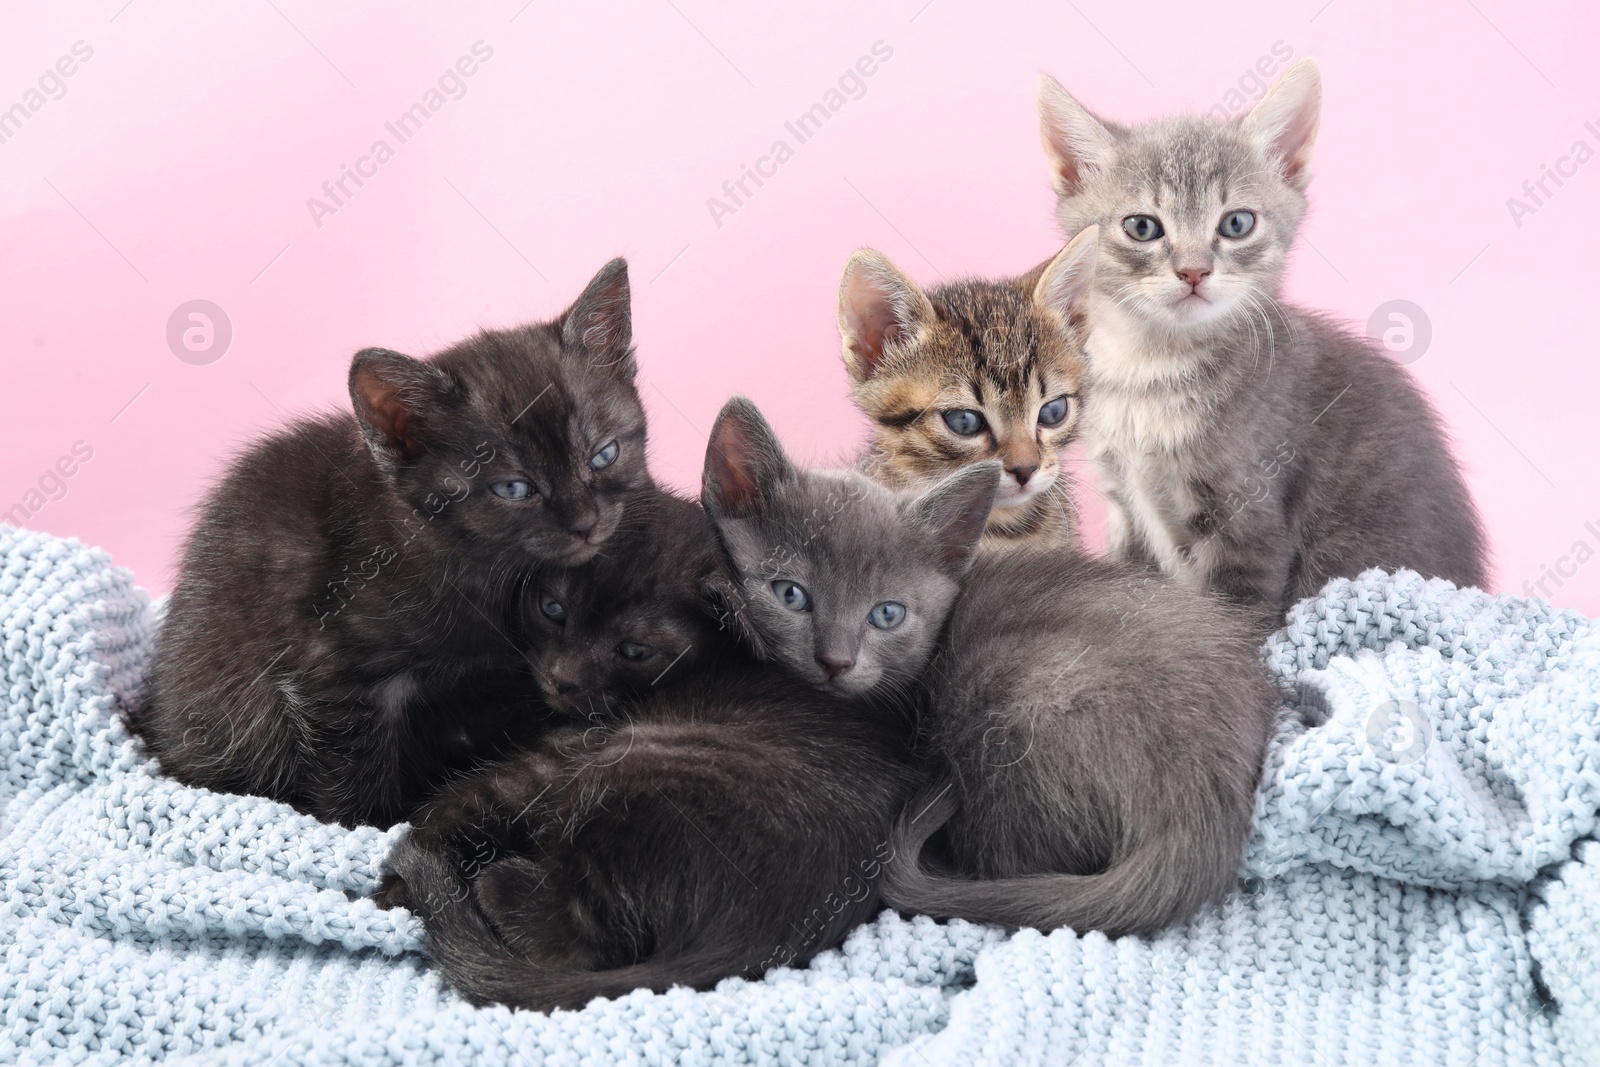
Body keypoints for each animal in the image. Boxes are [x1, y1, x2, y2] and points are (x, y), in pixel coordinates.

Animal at [132, 262, 656, 831]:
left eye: (604, 455)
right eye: (514, 489)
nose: (586, 523)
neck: (472, 566)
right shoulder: (331, 666)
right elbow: (352, 769)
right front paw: (371, 830)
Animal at [380, 415, 985, 1011]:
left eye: (633, 650)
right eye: (552, 609)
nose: (561, 679)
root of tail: (751, 944)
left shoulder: (549, 761)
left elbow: (460, 803)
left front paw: (393, 882)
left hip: (623, 771)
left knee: (580, 939)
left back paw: (494, 883)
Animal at [1036, 58, 1484, 620]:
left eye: (1236, 223)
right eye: (1142, 227)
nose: (1193, 271)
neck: (1150, 370)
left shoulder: (1248, 524)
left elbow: (1236, 620)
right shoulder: (1127, 507)